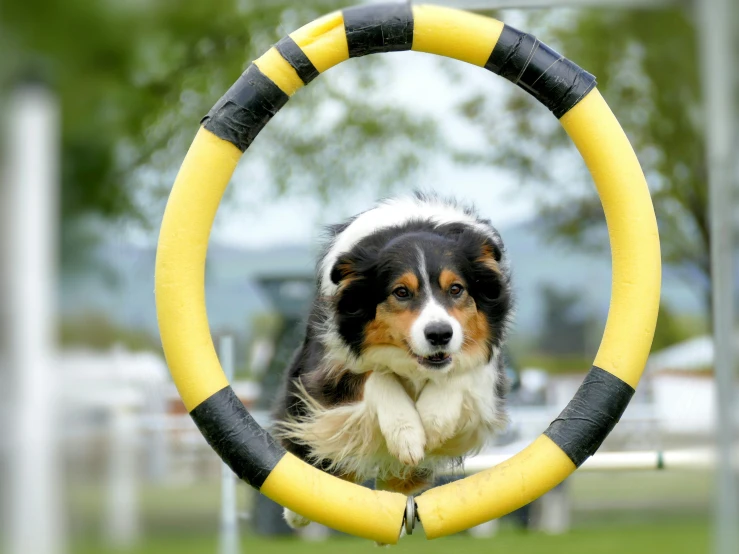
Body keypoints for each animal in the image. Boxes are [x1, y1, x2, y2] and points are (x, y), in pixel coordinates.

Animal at [274, 193, 516, 528]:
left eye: (456, 289)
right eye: (401, 292)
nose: (440, 334)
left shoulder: (486, 372)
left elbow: (462, 371)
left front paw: (432, 420)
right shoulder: (329, 366)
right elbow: (377, 376)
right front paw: (408, 434)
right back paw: (297, 510)